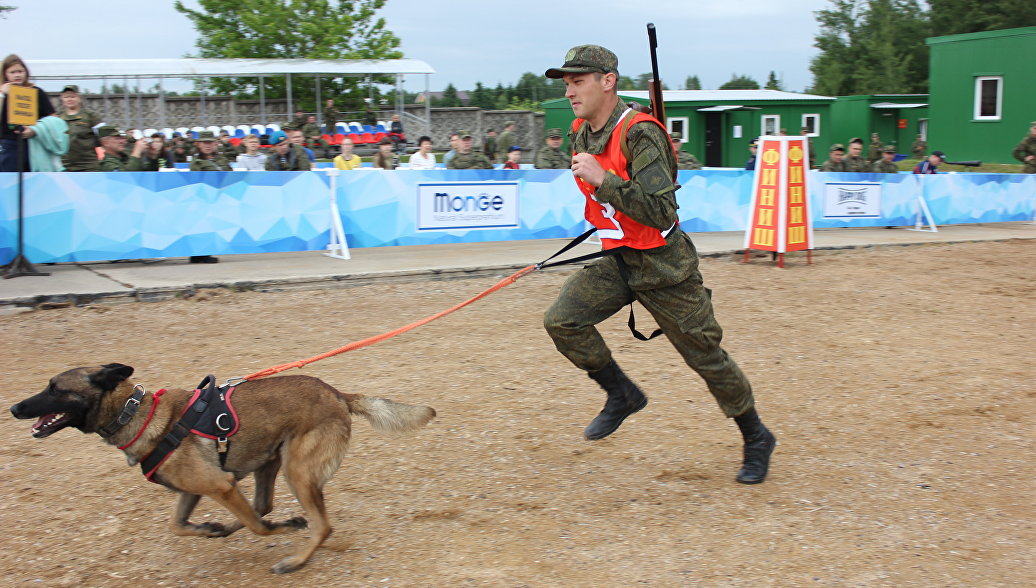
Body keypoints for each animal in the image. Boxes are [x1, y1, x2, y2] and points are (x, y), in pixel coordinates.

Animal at [6, 362, 433, 575]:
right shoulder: (196, 489)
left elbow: (258, 528)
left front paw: (276, 530)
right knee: (263, 506)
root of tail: (337, 394)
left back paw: (296, 558)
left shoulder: (221, 484)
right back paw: (233, 527)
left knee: (316, 524)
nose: (13, 408)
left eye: (56, 389)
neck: (139, 414)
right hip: (270, 463)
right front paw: (210, 529)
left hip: (296, 471)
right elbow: (178, 525)